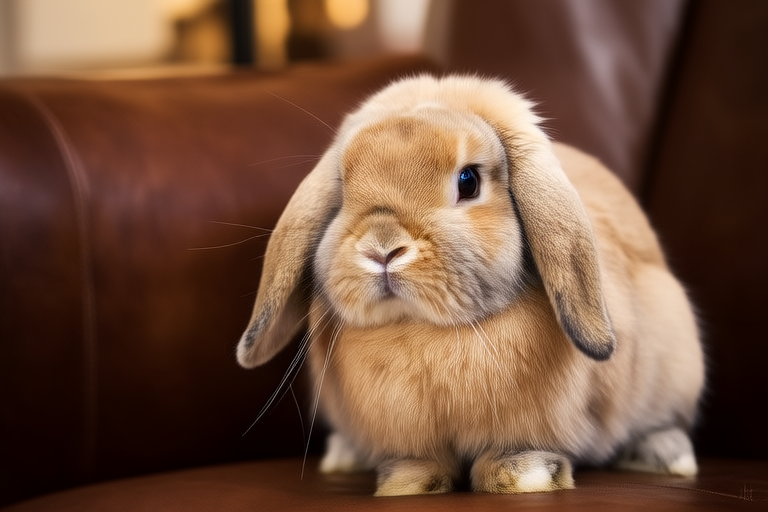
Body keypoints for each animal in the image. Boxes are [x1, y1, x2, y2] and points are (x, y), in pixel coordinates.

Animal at [236, 75, 705, 496]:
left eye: (468, 181)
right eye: (344, 189)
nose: (382, 248)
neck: (427, 333)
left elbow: (516, 453)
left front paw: (527, 477)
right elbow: (418, 462)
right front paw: (405, 483)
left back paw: (668, 458)